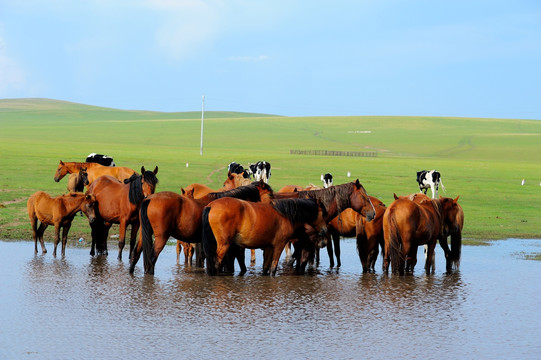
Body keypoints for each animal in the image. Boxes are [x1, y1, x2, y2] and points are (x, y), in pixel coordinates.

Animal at [130, 181, 274, 274]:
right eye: (270, 194)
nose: (273, 208)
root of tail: (149, 199)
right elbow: (233, 260)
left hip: (143, 235)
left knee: (136, 254)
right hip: (161, 237)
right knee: (152, 258)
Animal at [202, 197, 330, 276]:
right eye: (323, 213)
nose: (324, 231)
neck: (285, 215)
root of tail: (211, 206)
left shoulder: (269, 247)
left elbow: (265, 268)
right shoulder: (279, 245)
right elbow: (273, 268)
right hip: (224, 244)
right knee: (216, 263)